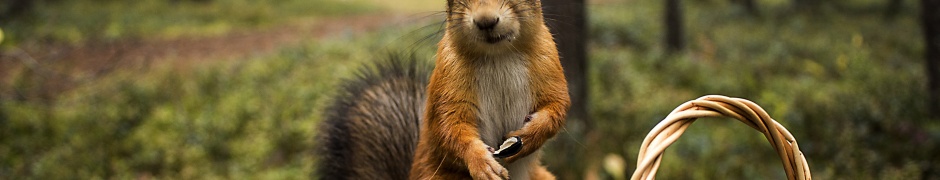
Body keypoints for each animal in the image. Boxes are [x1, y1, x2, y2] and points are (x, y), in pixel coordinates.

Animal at [316, 0, 568, 178]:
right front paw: (481, 162)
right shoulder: (449, 77)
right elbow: (450, 126)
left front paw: (530, 135)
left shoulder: (548, 61)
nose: (485, 21)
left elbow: (557, 107)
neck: (498, 54)